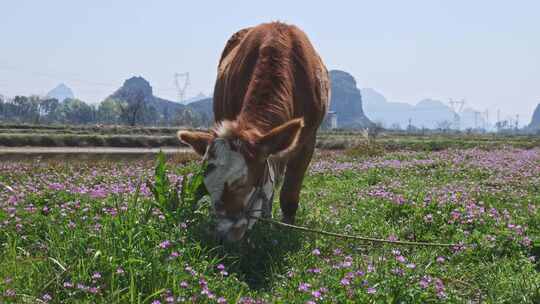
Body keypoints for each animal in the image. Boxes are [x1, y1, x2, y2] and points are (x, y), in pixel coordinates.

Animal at [178, 21, 330, 241]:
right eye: (207, 182)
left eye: (241, 183)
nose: (223, 235)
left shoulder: (308, 141)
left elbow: (289, 195)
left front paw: (285, 230)